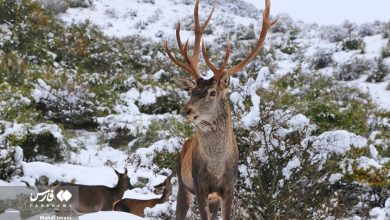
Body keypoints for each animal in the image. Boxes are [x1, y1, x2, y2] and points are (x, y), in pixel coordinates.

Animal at [163, 0, 276, 219]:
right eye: (192, 91)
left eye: (212, 92)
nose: (186, 110)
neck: (216, 170)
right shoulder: (199, 187)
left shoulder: (228, 188)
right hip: (182, 182)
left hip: (211, 197)